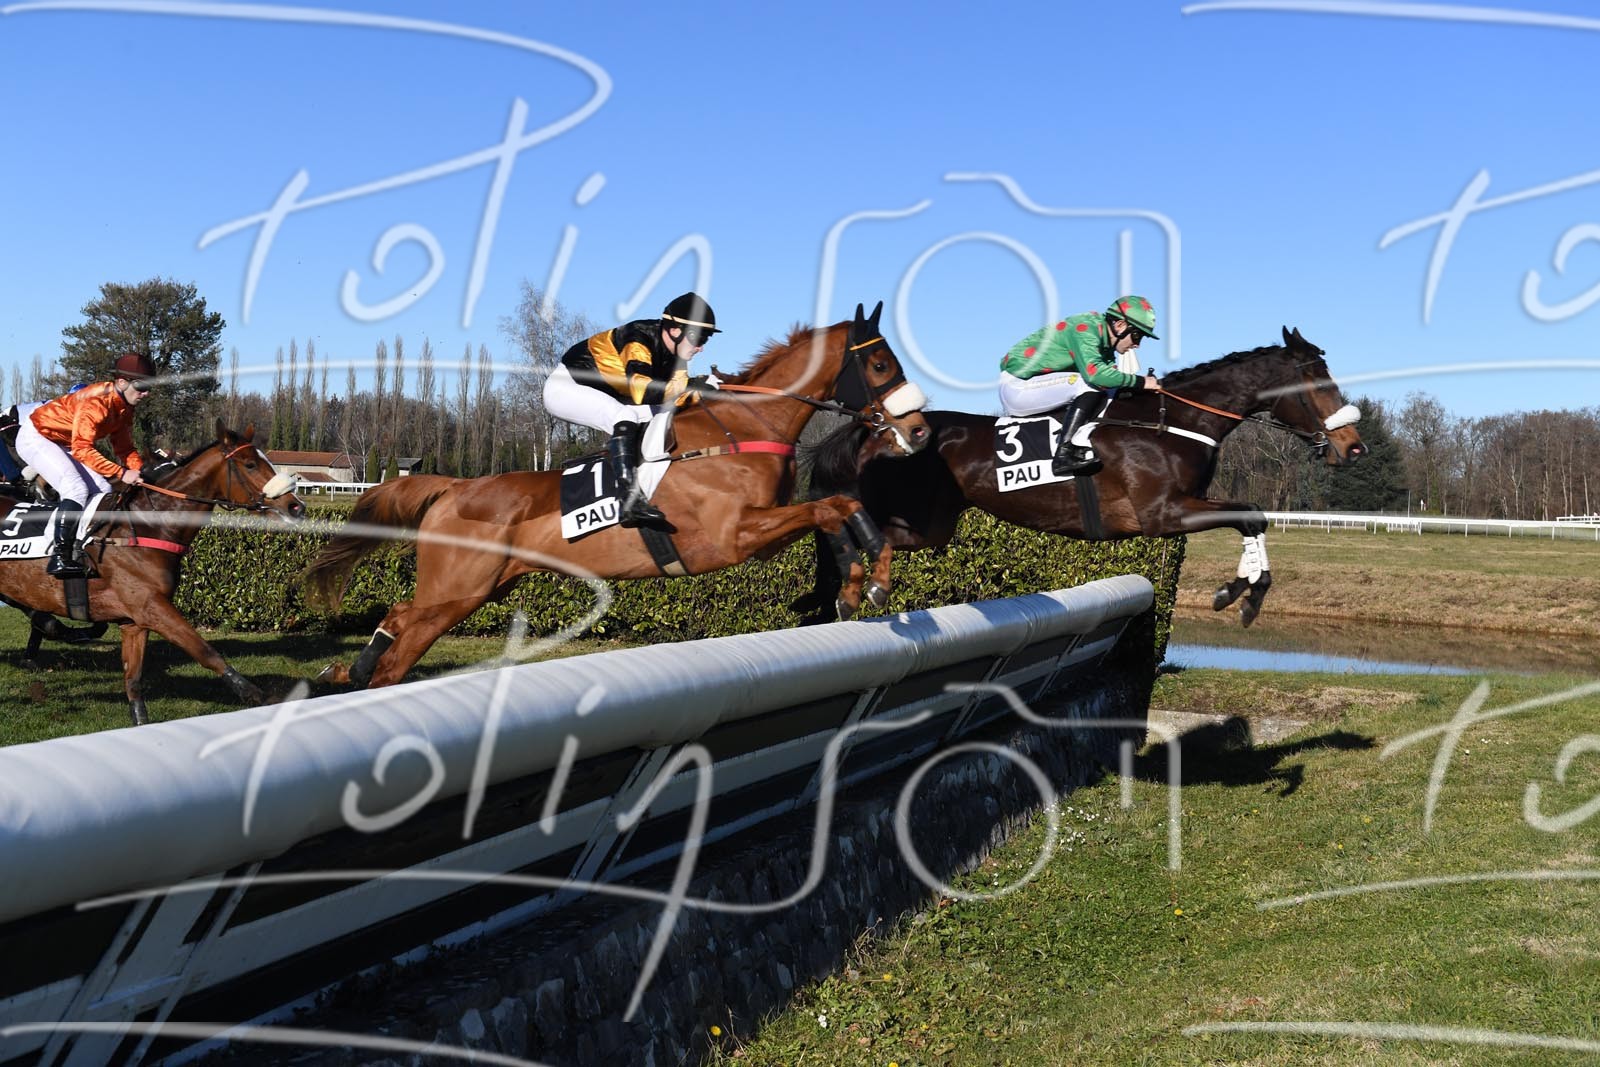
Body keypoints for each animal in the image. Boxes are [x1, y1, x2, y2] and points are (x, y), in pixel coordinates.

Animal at [0, 420, 306, 725]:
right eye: (250, 464)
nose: (296, 506)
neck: (147, 526)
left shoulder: (133, 621)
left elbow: (133, 679)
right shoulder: (151, 606)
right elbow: (205, 651)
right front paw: (259, 696)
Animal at [305, 302, 932, 689]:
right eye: (881, 362)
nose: (921, 430)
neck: (742, 427)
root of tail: (455, 487)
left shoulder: (767, 530)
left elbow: (838, 510)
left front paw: (859, 584)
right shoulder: (734, 537)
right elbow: (834, 506)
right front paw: (868, 583)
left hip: (476, 588)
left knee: (398, 621)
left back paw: (352, 677)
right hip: (458, 589)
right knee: (403, 636)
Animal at [798, 326, 1366, 628]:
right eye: (1319, 383)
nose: (1353, 446)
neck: (1174, 422)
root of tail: (877, 427)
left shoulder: (1187, 505)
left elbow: (1255, 519)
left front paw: (1240, 590)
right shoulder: (1163, 514)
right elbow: (1251, 514)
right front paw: (1242, 594)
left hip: (928, 527)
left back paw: (841, 595)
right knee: (841, 525)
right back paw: (844, 592)